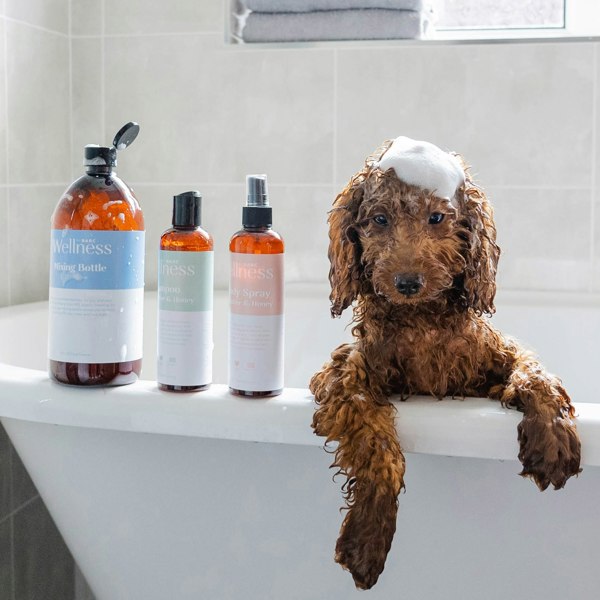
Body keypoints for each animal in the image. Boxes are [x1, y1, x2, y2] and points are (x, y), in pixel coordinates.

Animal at [310, 137, 580, 592]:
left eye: (436, 217)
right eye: (379, 219)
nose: (407, 283)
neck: (422, 323)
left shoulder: (494, 356)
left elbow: (536, 374)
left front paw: (553, 439)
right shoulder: (345, 374)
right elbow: (379, 445)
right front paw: (367, 539)